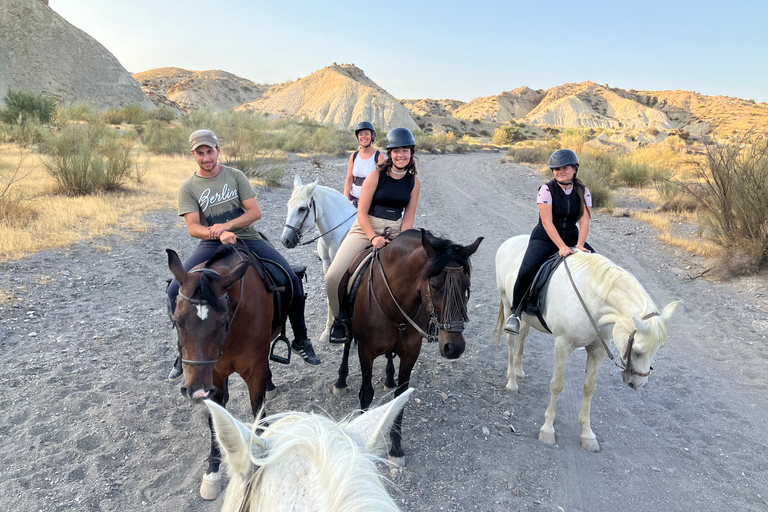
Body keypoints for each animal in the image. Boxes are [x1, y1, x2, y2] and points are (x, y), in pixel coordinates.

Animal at [165, 246, 276, 502]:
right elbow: (214, 420)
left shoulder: (255, 372)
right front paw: (212, 473)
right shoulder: (213, 375)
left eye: (222, 320)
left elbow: (258, 412)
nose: (195, 390)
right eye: (177, 321)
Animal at [280, 176, 356, 344]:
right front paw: (328, 331)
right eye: (288, 205)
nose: (285, 240)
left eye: (302, 209)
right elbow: (331, 296)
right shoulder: (327, 266)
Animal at [334, 230, 484, 466]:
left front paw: (396, 448)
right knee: (347, 345)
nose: (455, 347)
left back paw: (389, 378)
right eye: (434, 285)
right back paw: (341, 380)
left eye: (466, 286)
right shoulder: (366, 351)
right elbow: (366, 393)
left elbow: (400, 396)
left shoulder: (412, 351)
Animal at [498, 234, 684, 450]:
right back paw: (512, 381)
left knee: (522, 337)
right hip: (508, 305)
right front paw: (547, 429)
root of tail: (511, 240)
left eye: (658, 349)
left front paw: (587, 434)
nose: (638, 384)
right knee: (511, 342)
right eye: (637, 351)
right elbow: (557, 385)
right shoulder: (562, 345)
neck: (592, 300)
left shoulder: (597, 349)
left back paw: (519, 371)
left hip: (527, 317)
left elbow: (589, 388)